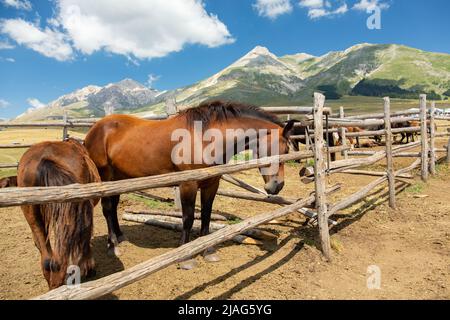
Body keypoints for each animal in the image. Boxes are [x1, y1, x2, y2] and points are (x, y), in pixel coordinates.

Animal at [84, 100, 296, 268]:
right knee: (107, 208)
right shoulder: (188, 184)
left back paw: (121, 237)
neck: (205, 138)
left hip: (119, 178)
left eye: (287, 150)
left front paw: (208, 251)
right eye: (277, 148)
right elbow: (188, 218)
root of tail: (95, 129)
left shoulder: (212, 184)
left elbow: (206, 216)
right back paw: (113, 246)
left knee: (114, 206)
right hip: (106, 178)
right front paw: (186, 257)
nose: (277, 186)